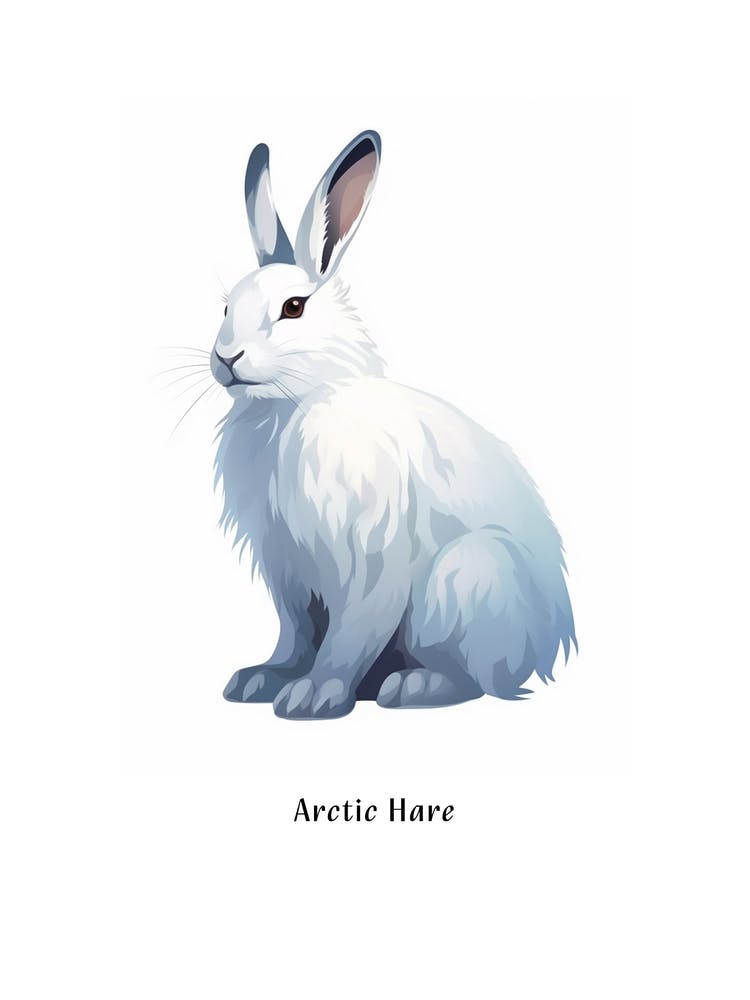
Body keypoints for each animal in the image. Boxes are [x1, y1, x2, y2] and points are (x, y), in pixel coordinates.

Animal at [213, 130, 576, 720]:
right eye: (225, 307)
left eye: (293, 308)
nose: (226, 358)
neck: (297, 403)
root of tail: (547, 649)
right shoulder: (285, 571)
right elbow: (295, 636)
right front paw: (262, 679)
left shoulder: (373, 563)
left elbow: (348, 636)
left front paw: (314, 695)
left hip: (463, 580)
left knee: (472, 680)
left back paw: (413, 687)